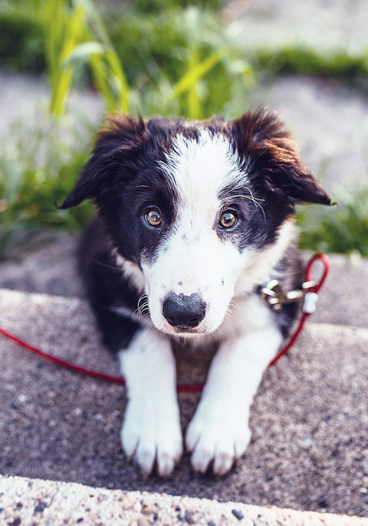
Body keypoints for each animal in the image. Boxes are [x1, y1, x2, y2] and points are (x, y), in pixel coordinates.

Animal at [60, 110, 330, 478]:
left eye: (229, 218)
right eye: (153, 216)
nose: (183, 314)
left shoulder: (283, 290)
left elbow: (240, 354)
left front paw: (216, 435)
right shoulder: (104, 282)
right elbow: (147, 346)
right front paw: (154, 434)